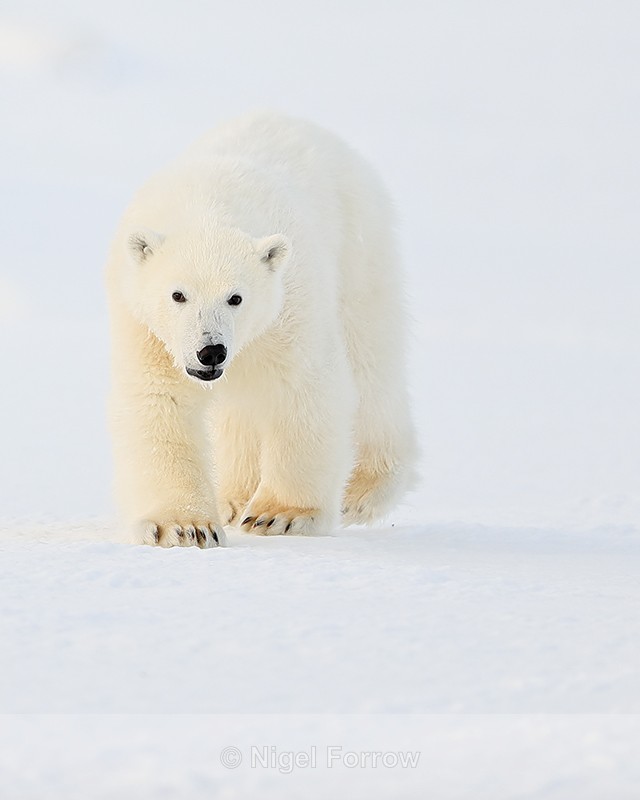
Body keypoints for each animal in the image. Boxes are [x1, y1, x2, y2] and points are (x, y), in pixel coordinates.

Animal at [106, 111, 416, 547]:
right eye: (177, 294)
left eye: (236, 297)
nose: (210, 351)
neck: (207, 206)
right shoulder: (144, 327)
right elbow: (160, 399)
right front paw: (184, 526)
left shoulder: (289, 304)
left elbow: (302, 389)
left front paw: (281, 515)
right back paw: (233, 497)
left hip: (360, 251)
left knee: (371, 366)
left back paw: (363, 490)